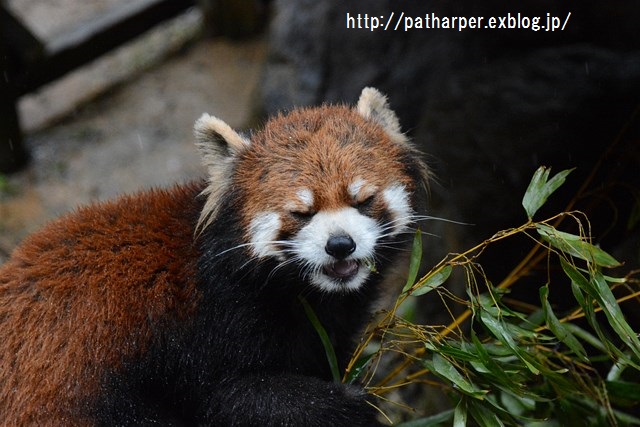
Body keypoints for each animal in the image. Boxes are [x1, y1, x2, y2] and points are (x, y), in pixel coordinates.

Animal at [1, 88, 430, 426]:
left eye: (363, 200)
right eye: (300, 213)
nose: (340, 244)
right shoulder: (209, 331)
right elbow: (234, 398)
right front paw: (345, 404)